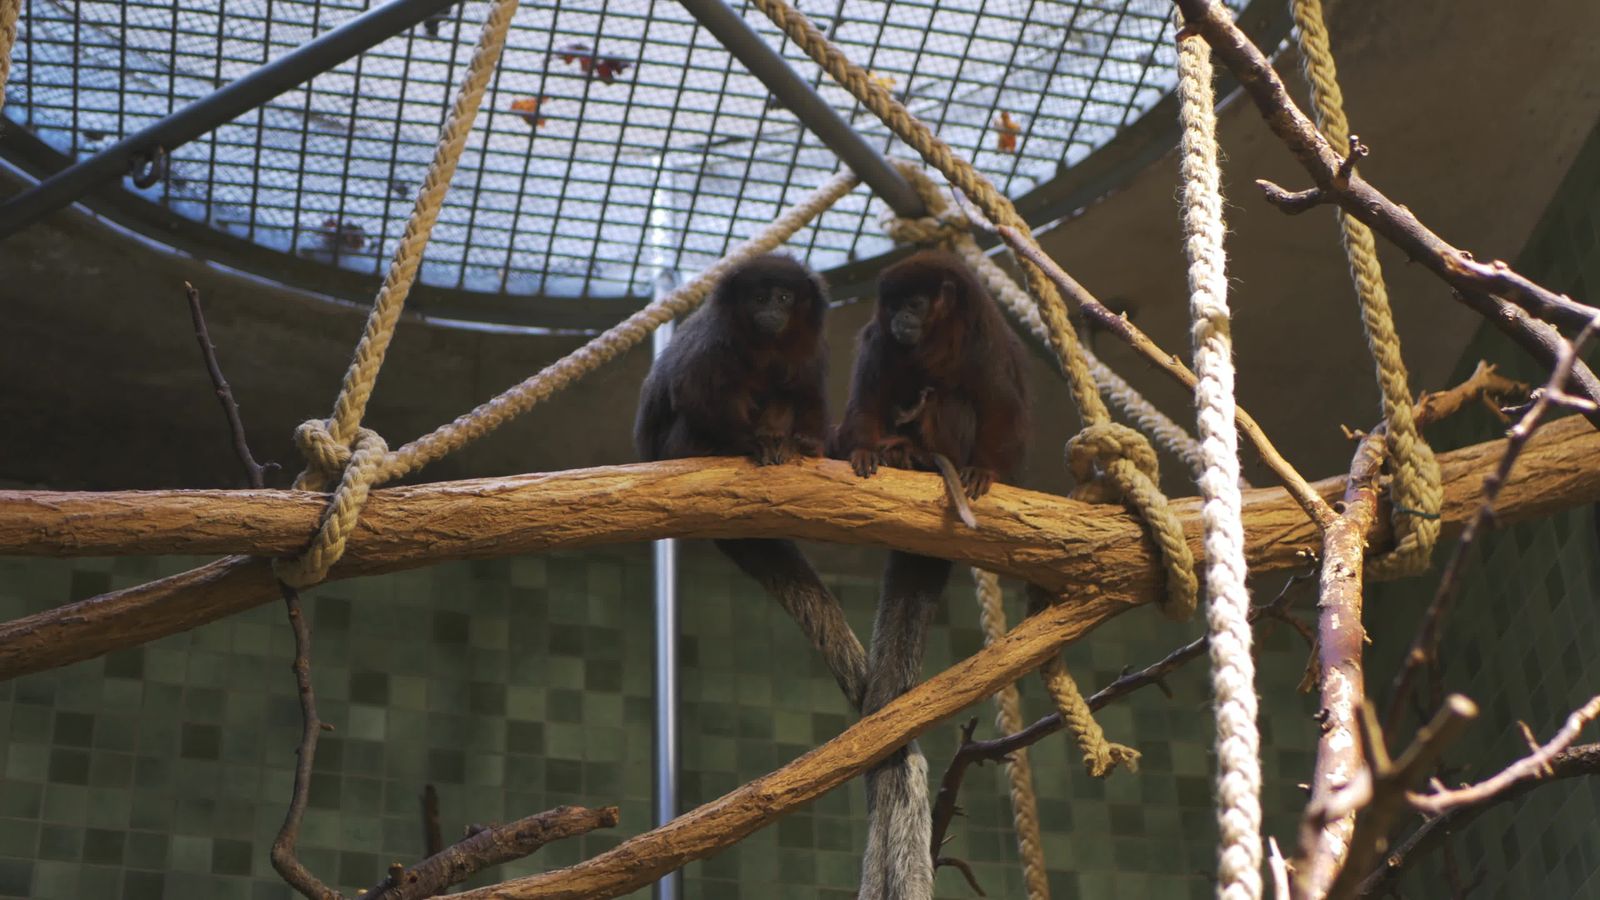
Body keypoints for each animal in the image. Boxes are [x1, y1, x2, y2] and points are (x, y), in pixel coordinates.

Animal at [634, 254, 869, 709]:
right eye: (759, 297)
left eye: (784, 297)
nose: (772, 310)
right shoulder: (714, 344)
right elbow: (690, 391)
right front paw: (749, 442)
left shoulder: (811, 348)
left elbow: (805, 391)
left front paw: (804, 443)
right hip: (673, 445)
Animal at [831, 250, 1029, 900]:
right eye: (891, 307)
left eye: (915, 304)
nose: (900, 320)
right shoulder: (877, 344)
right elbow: (865, 398)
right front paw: (866, 449)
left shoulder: (983, 340)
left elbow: (1000, 405)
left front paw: (986, 471)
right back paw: (901, 450)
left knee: (954, 400)